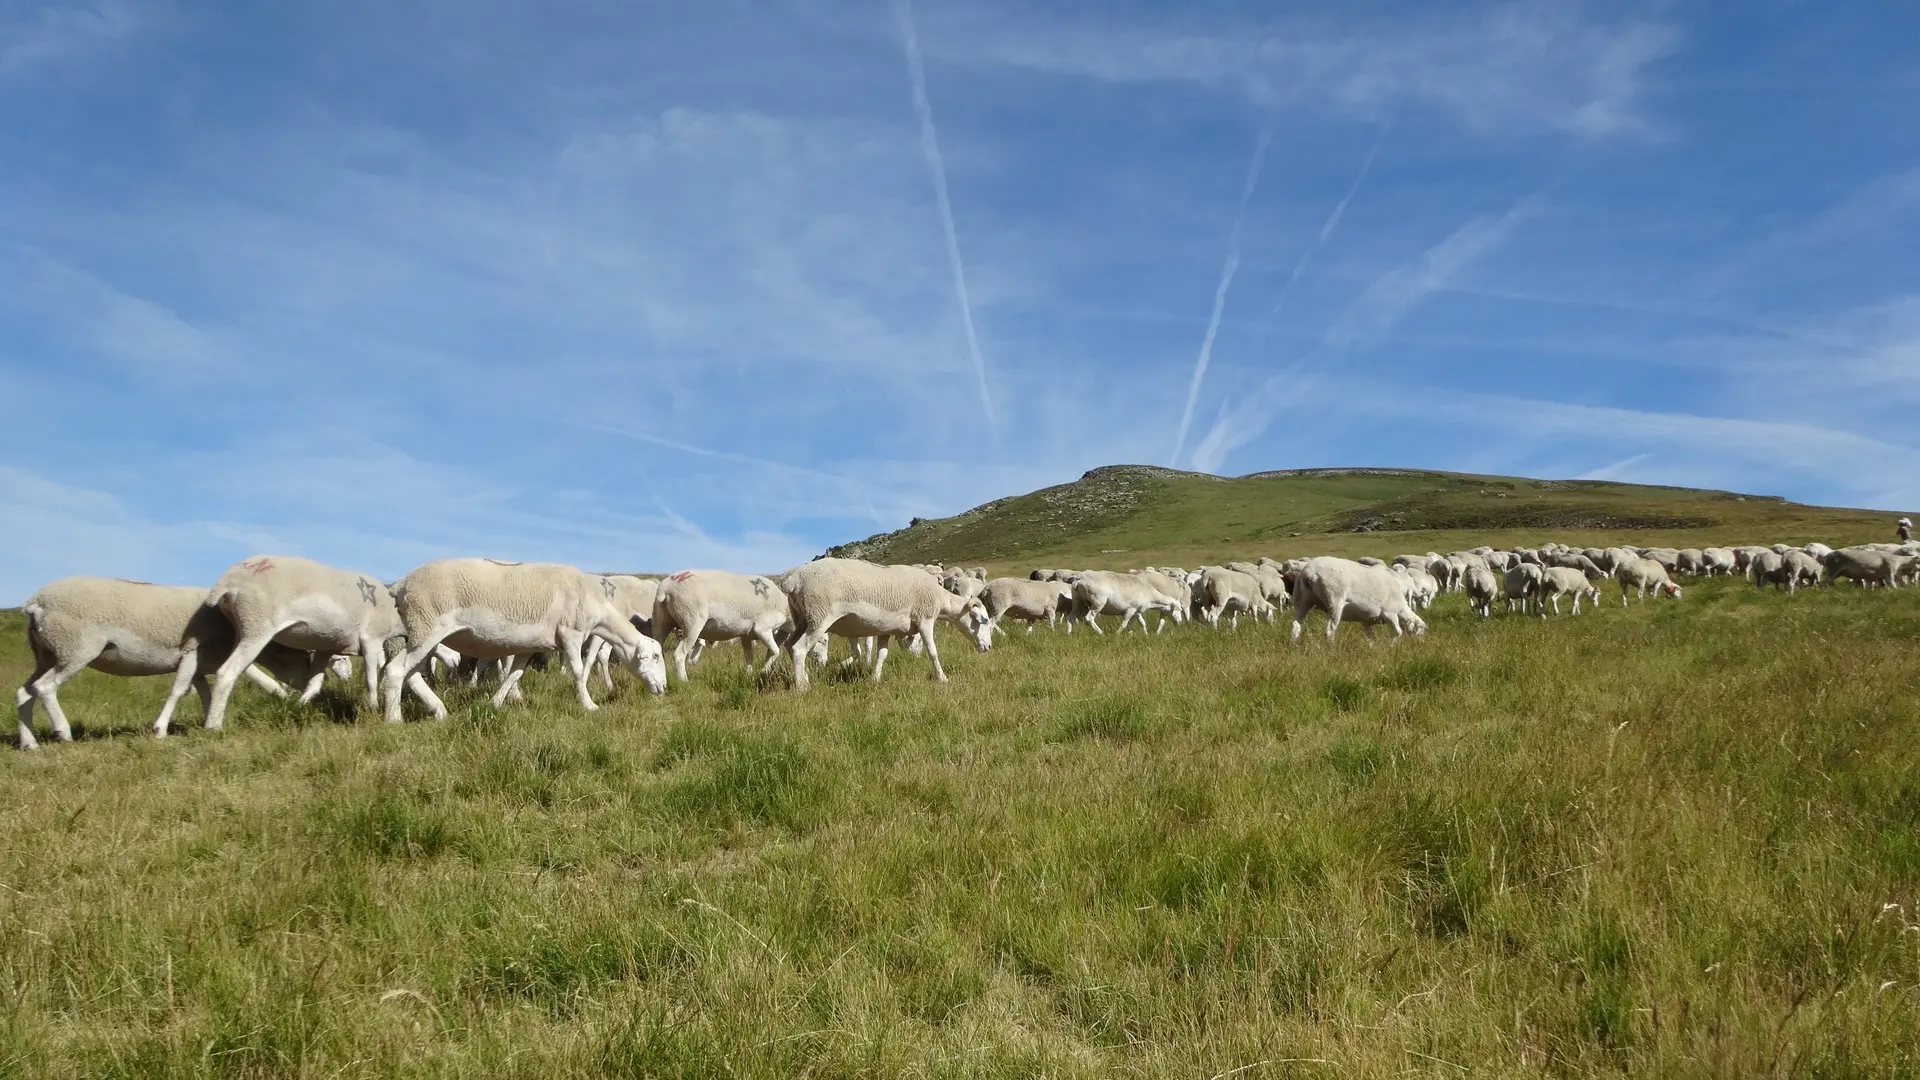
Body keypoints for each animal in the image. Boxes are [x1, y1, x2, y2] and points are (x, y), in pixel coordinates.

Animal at [648, 568, 791, 676]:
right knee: (679, 654)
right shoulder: (762, 628)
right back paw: (684, 681)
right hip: (691, 620)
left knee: (657, 651)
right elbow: (776, 651)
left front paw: (749, 675)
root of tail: (665, 588)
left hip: (661, 622)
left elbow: (749, 657)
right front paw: (763, 671)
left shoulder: (746, 636)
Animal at [779, 553, 990, 687]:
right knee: (799, 649)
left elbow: (882, 654)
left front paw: (875, 679)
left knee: (789, 645)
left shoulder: (886, 629)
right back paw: (803, 687)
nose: (988, 647)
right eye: (985, 620)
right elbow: (933, 652)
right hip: (819, 616)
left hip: (802, 619)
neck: (940, 597)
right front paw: (942, 678)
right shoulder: (925, 619)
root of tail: (793, 579)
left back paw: (803, 679)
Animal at [1290, 553, 1428, 638]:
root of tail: (1309, 572)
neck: (1401, 609)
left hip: (1301, 599)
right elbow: (1397, 632)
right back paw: (1331, 649)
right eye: (1420, 631)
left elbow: (1370, 637)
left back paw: (1294, 646)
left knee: (1296, 626)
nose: (1418, 642)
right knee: (1329, 630)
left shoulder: (1366, 620)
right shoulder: (1390, 613)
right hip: (1334, 599)